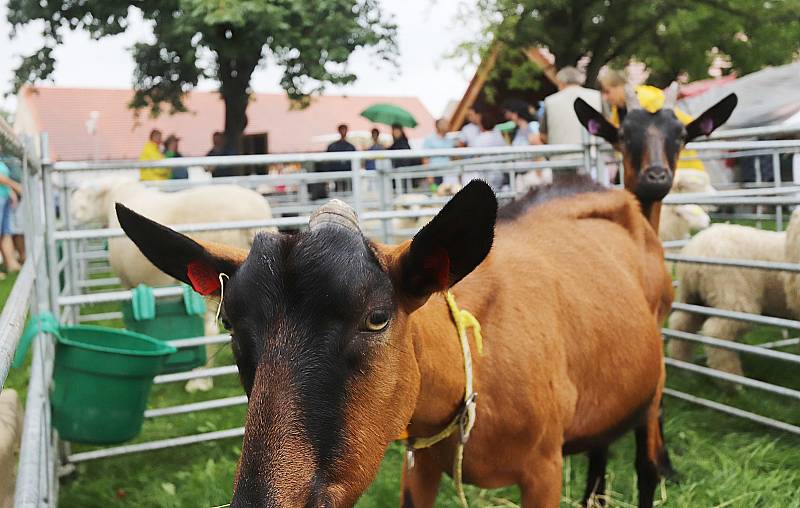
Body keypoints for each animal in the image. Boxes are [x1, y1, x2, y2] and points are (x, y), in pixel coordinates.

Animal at [115, 180, 672, 508]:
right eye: (229, 322)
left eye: (377, 318)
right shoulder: (418, 465)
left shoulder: (543, 470)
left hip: (655, 377)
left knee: (646, 462)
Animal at [664, 207, 800, 378]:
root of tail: (697, 247)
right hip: (732, 296)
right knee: (716, 333)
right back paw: (731, 379)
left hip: (692, 297)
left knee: (681, 324)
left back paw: (683, 367)